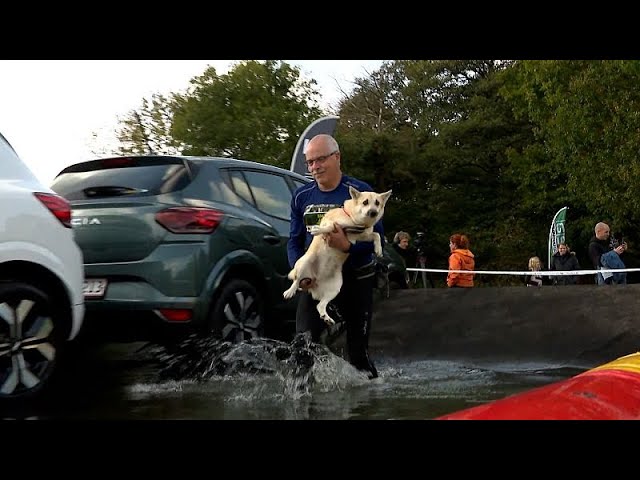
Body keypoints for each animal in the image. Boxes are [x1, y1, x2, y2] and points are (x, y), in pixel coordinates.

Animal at [284, 187, 392, 326]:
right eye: (365, 202)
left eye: (377, 203)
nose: (373, 212)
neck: (353, 220)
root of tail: (315, 280)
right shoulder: (332, 222)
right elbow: (330, 226)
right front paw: (318, 230)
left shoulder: (362, 235)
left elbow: (376, 235)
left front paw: (378, 248)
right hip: (304, 263)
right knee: (297, 280)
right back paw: (290, 291)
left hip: (335, 288)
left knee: (320, 305)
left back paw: (327, 318)